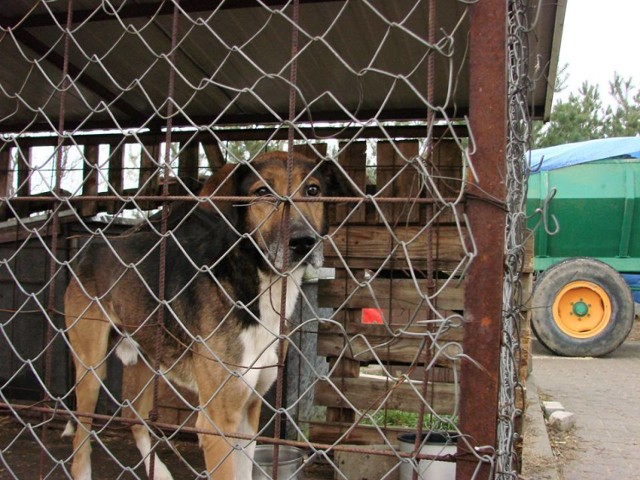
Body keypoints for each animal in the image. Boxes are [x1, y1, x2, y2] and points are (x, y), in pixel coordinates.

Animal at [63, 151, 356, 480]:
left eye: (313, 190)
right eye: (262, 192)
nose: (303, 242)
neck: (254, 289)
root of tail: (94, 247)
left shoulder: (248, 413)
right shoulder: (218, 422)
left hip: (147, 358)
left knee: (133, 415)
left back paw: (159, 472)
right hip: (91, 368)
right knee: (80, 441)